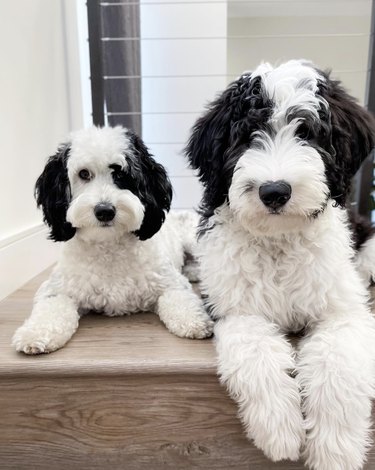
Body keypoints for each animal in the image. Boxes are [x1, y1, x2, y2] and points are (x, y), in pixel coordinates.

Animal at [13, 125, 213, 352]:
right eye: (84, 174)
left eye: (121, 174)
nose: (105, 211)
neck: (108, 246)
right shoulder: (57, 289)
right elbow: (51, 308)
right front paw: (35, 334)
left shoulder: (171, 283)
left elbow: (181, 300)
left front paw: (195, 321)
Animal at [187, 58, 375, 470]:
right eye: (247, 136)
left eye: (308, 133)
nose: (274, 191)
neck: (278, 241)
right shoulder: (236, 309)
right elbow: (255, 349)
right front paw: (280, 430)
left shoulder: (343, 311)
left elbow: (338, 364)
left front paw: (335, 450)